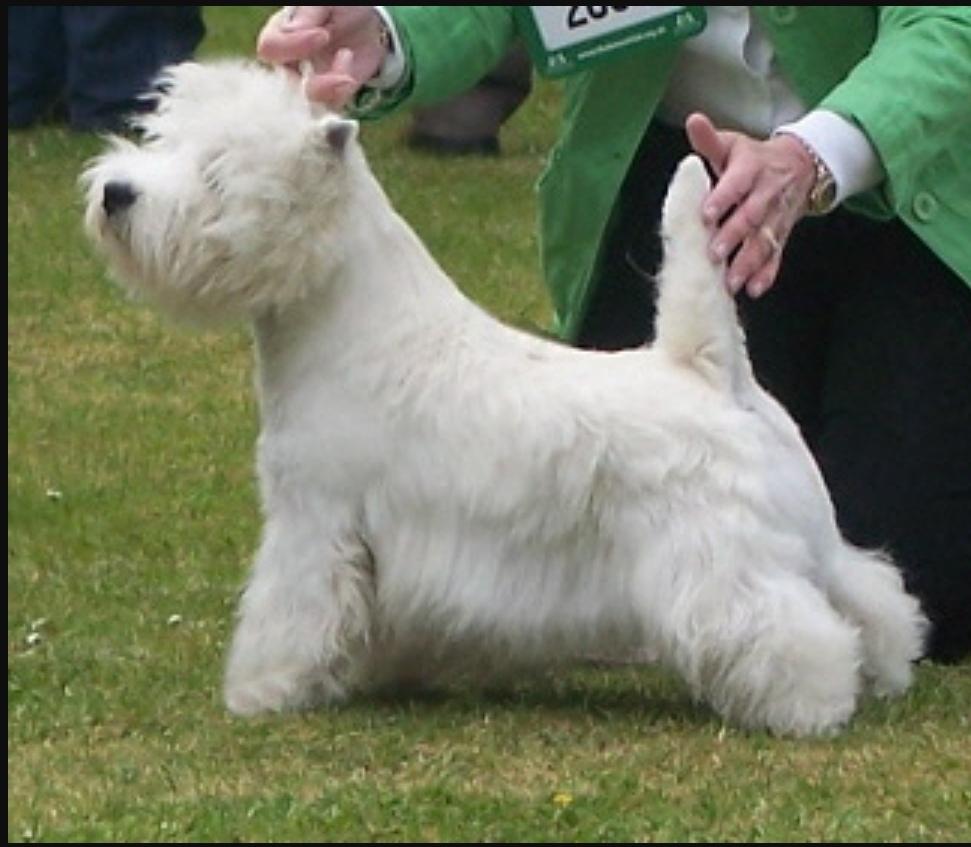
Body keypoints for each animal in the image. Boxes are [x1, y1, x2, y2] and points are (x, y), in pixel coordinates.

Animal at [81, 61, 928, 736]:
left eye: (219, 171)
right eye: (160, 139)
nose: (117, 193)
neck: (353, 320)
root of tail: (707, 366)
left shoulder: (315, 517)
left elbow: (291, 606)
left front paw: (265, 689)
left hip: (716, 551)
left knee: (779, 624)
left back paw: (810, 706)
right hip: (805, 530)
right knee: (869, 590)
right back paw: (885, 670)